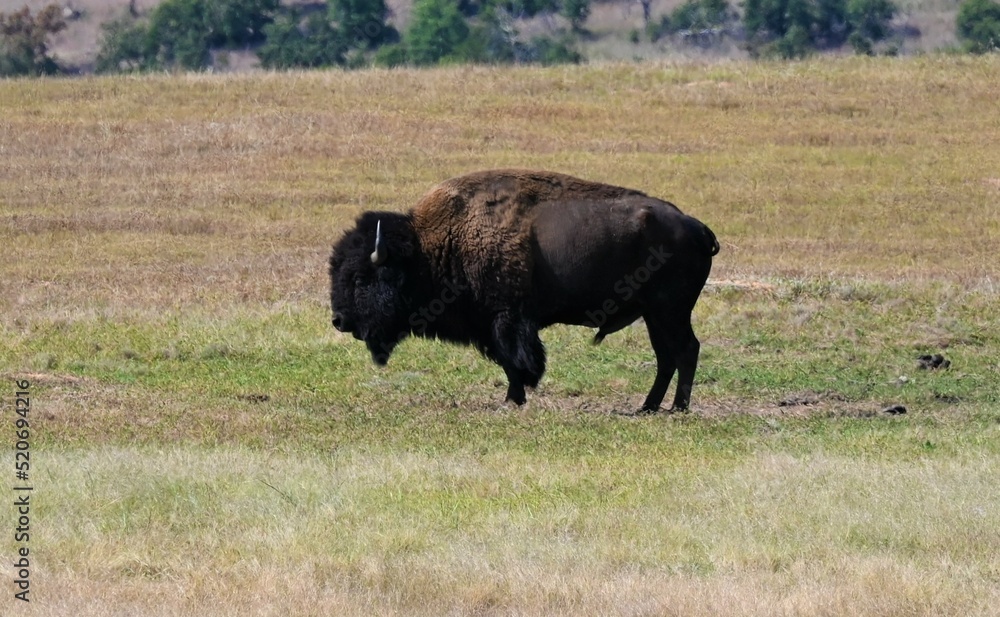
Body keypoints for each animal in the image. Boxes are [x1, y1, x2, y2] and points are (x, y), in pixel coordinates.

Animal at [332, 168, 724, 412]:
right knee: (667, 356)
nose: (338, 320)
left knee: (685, 350)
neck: (432, 246)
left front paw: (513, 398)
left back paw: (677, 408)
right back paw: (648, 406)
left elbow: (515, 360)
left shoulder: (506, 319)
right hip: (655, 315)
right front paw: (514, 398)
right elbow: (509, 362)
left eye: (360, 278)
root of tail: (697, 227)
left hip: (669, 311)